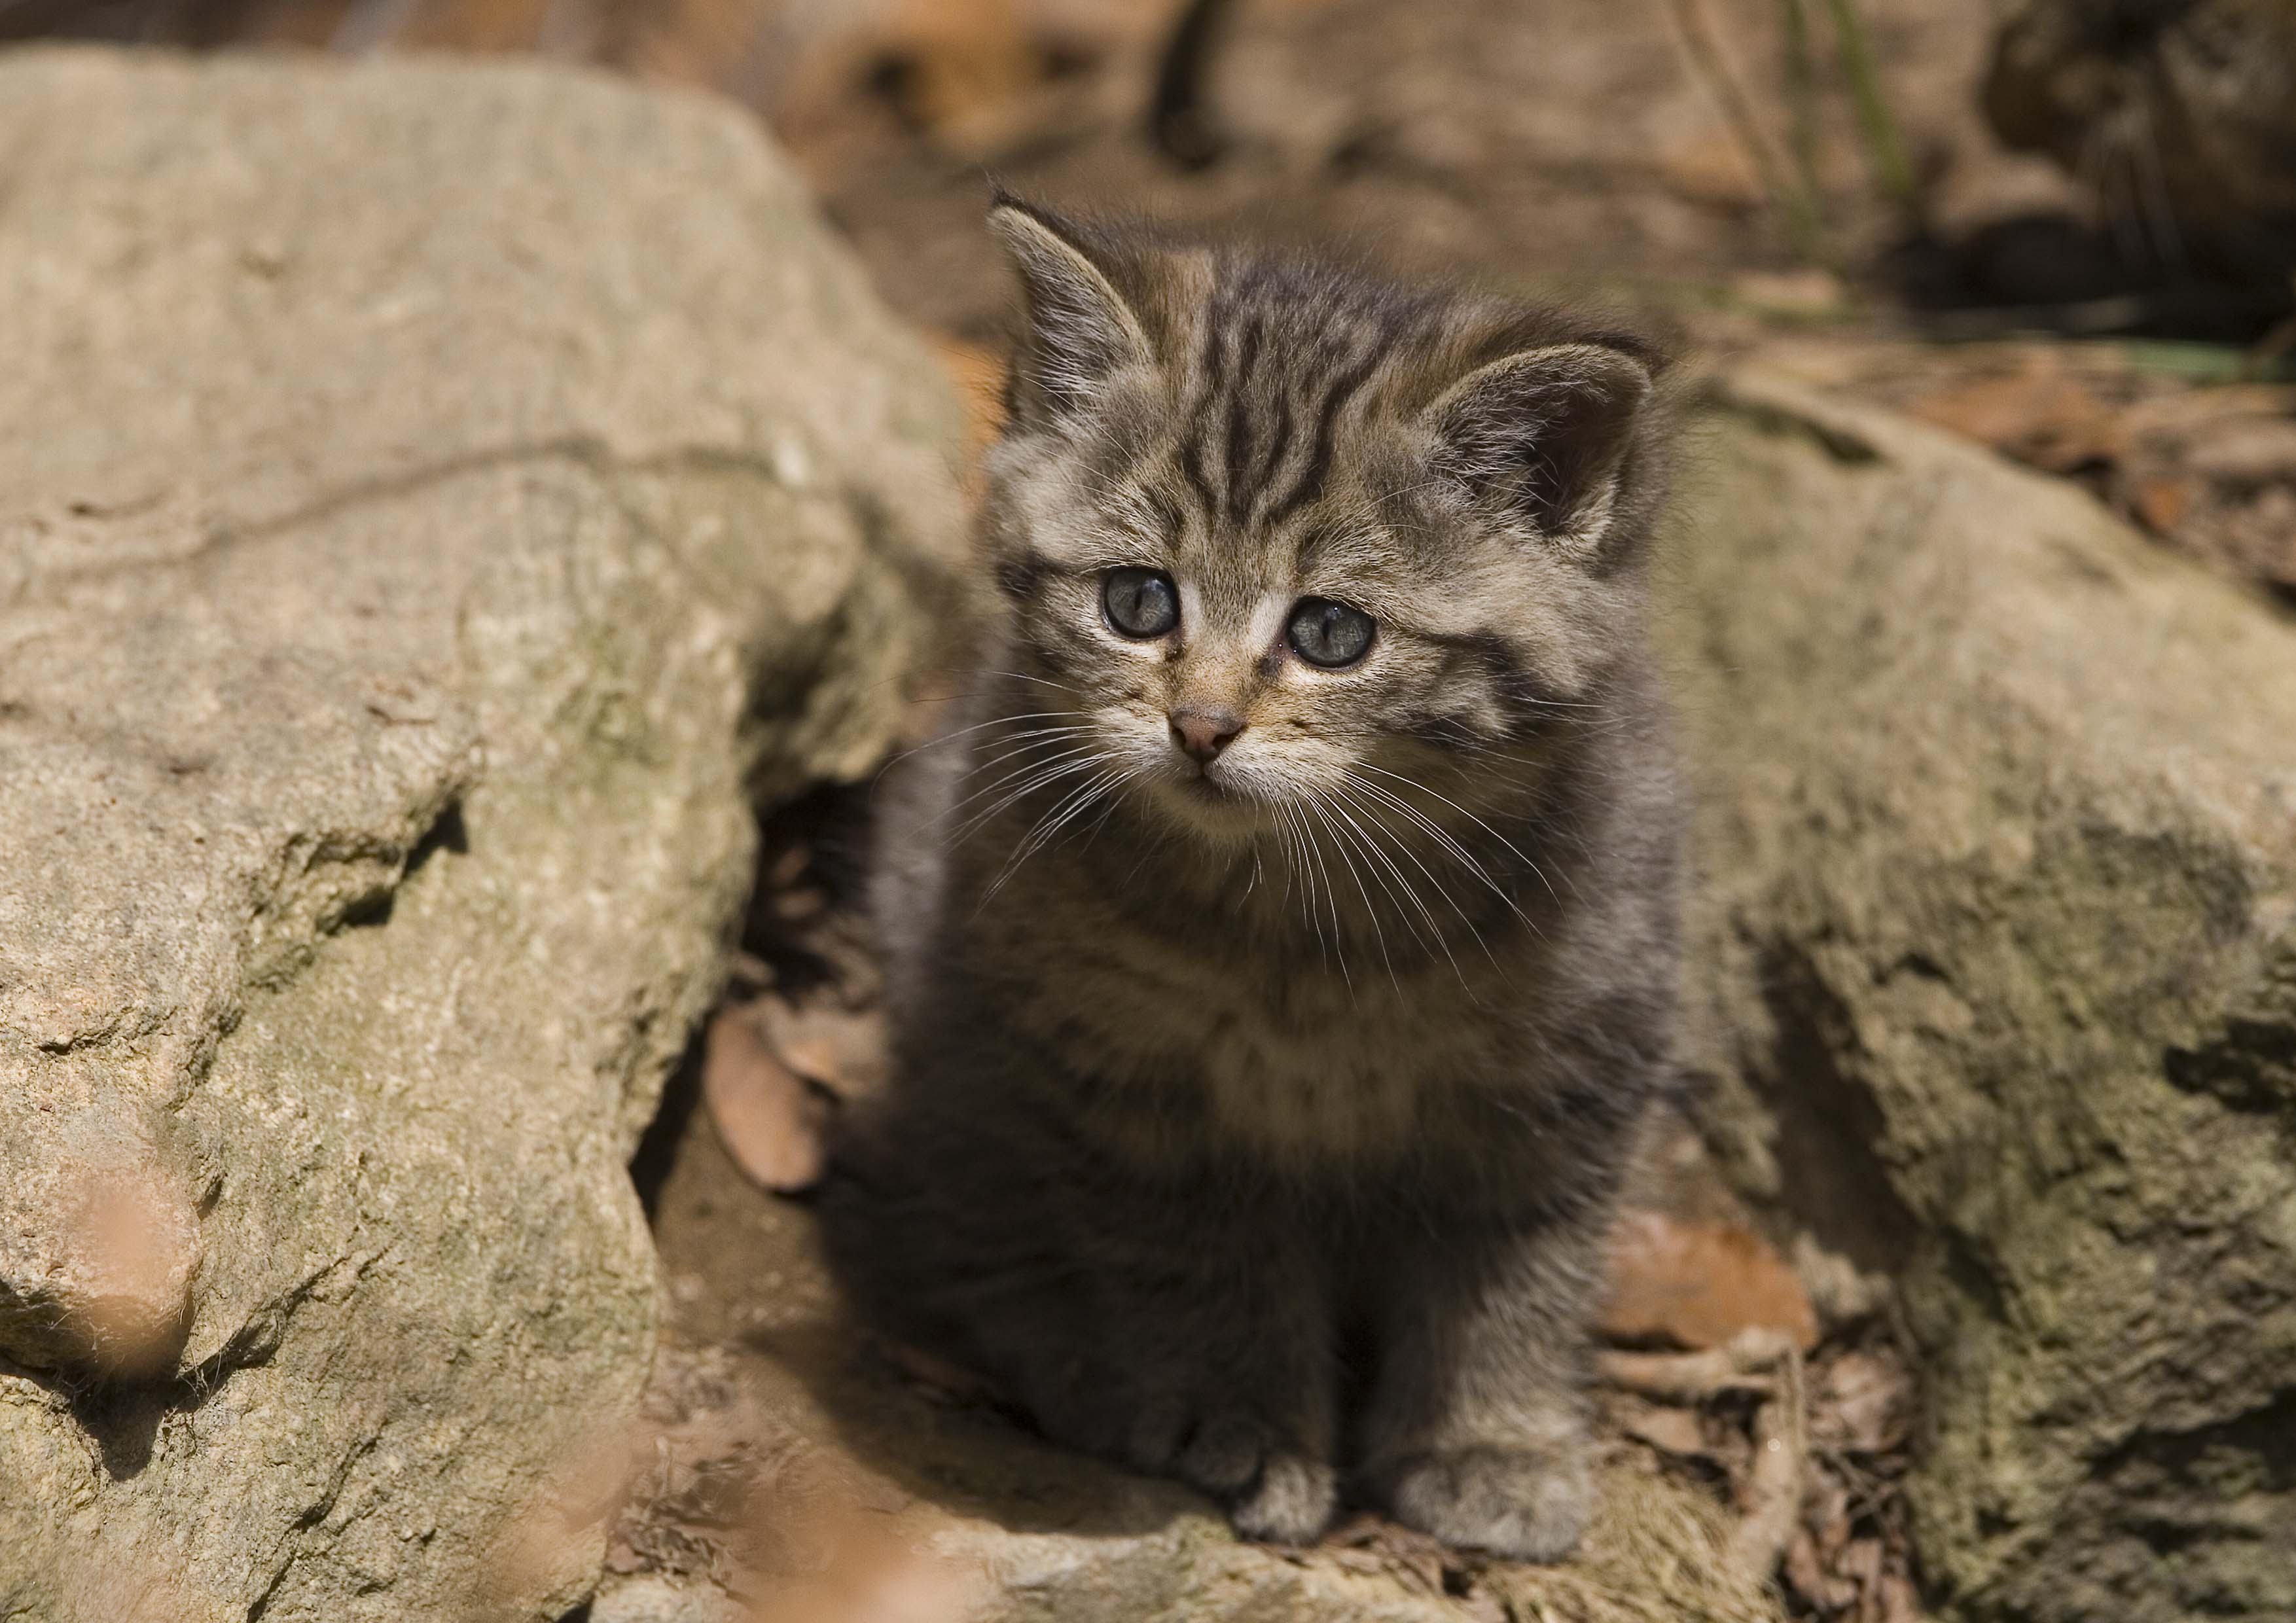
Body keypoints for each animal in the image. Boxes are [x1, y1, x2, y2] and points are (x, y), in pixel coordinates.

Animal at [826, 194, 1689, 1561]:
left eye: (1331, 631)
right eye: (1138, 602)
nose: (1201, 726)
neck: (1311, 926)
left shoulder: (1571, 1078)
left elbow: (1520, 1273)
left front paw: (1491, 1441)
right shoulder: (1130, 1092)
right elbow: (1199, 1266)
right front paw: (1238, 1421)